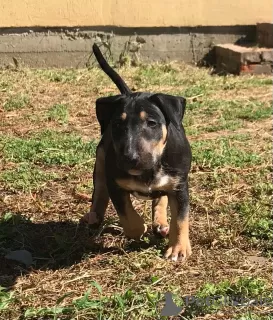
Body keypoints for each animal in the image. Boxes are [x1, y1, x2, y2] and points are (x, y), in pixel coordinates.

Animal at [83, 43, 191, 262]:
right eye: (117, 124)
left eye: (151, 123)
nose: (130, 159)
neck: (150, 168)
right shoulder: (115, 184)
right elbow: (128, 217)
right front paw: (139, 229)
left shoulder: (179, 186)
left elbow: (180, 218)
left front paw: (178, 249)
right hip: (101, 160)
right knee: (99, 190)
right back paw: (95, 216)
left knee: (160, 197)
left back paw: (161, 222)